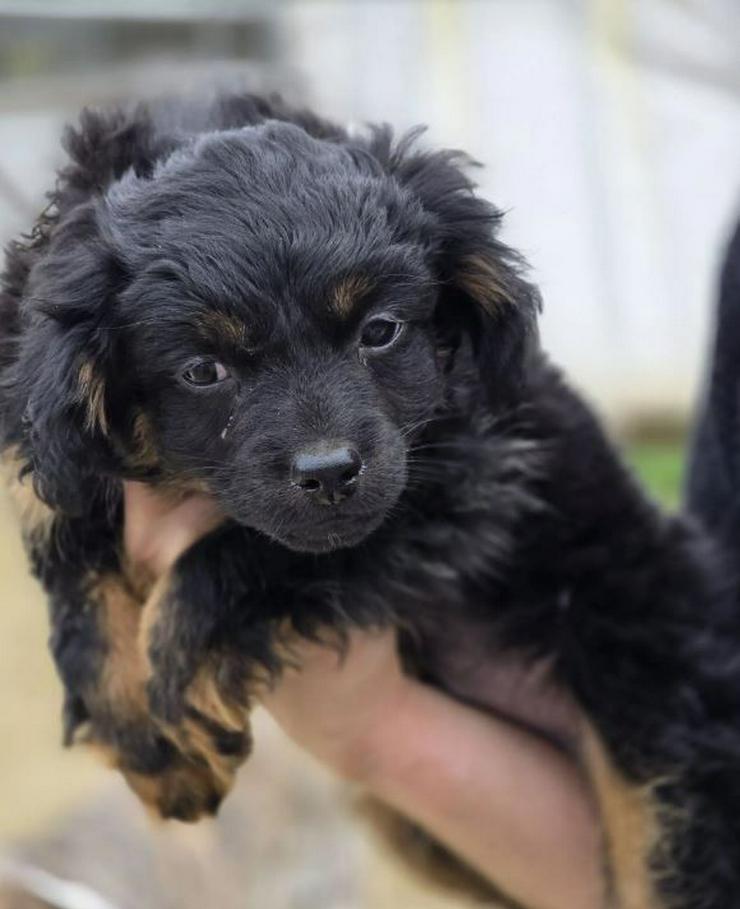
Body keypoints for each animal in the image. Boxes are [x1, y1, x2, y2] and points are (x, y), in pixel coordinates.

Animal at [1, 94, 740, 908]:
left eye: (379, 331)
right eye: (202, 370)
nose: (329, 472)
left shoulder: (465, 479)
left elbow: (250, 554)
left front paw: (176, 665)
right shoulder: (52, 443)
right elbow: (75, 578)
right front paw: (143, 737)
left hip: (660, 709)